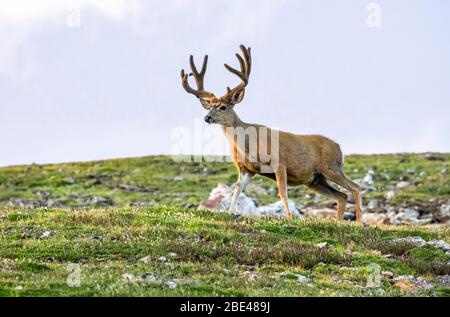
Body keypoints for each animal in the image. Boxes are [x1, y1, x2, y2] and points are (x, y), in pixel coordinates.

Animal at [179, 44, 362, 222]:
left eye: (223, 107)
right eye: (210, 106)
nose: (207, 117)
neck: (248, 144)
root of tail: (339, 147)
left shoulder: (279, 162)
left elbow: (282, 191)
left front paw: (289, 217)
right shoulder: (246, 169)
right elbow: (237, 188)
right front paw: (231, 212)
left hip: (331, 167)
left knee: (355, 188)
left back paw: (359, 223)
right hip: (315, 180)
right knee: (342, 196)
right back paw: (339, 222)